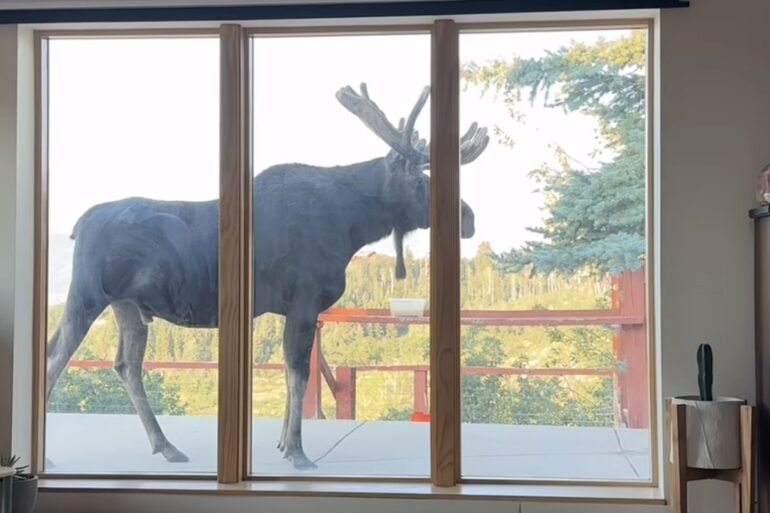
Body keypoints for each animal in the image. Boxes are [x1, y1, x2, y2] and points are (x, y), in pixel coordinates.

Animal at [45, 83, 489, 469]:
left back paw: (166, 446)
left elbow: (293, 372)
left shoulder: (292, 308)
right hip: (86, 295)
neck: (351, 224)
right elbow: (298, 371)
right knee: (55, 355)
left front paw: (281, 443)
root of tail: (78, 225)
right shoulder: (305, 298)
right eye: (417, 178)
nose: (467, 216)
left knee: (126, 365)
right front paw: (297, 451)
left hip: (127, 305)